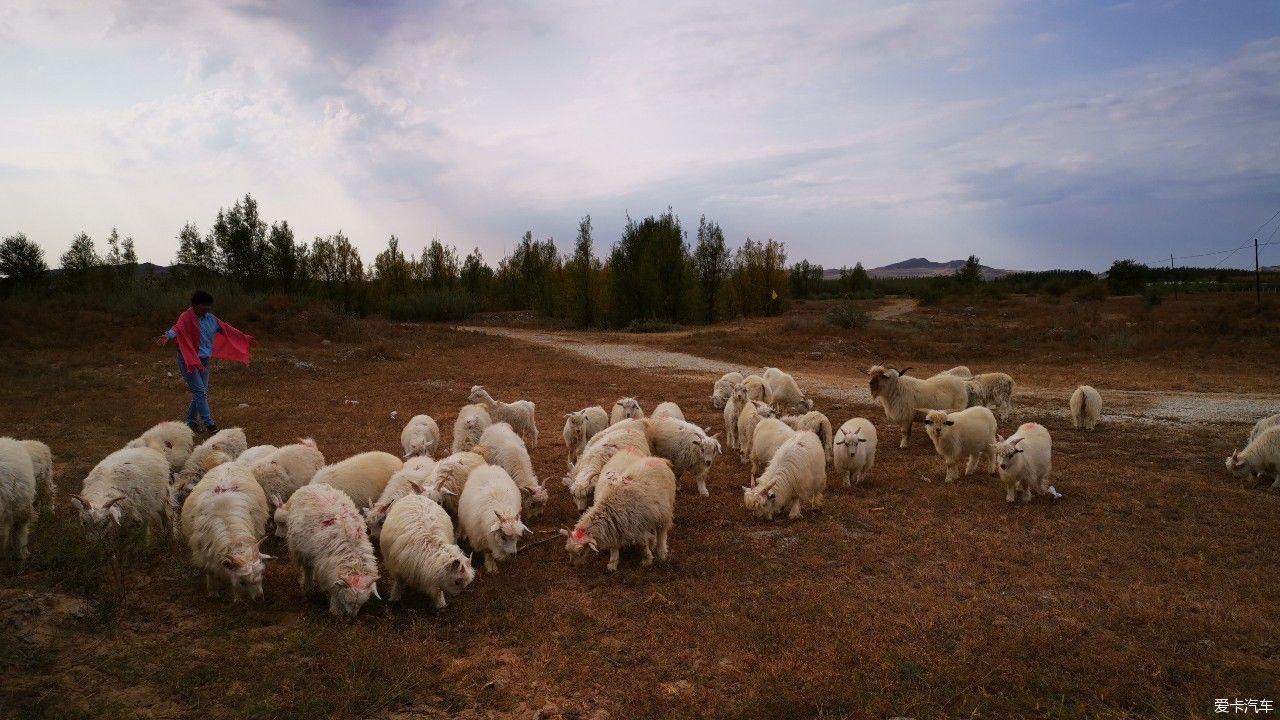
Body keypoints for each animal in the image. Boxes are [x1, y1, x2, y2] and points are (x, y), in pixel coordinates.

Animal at [179, 458, 271, 599]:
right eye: (242, 582)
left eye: (261, 575)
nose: (259, 598)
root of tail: (227, 463)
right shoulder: (204, 553)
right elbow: (210, 572)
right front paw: (213, 592)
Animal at [281, 479, 376, 614]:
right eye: (348, 600)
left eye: (361, 604)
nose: (351, 616)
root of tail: (310, 486)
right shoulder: (328, 569)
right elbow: (334, 592)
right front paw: (335, 610)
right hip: (300, 548)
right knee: (307, 568)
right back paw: (307, 587)